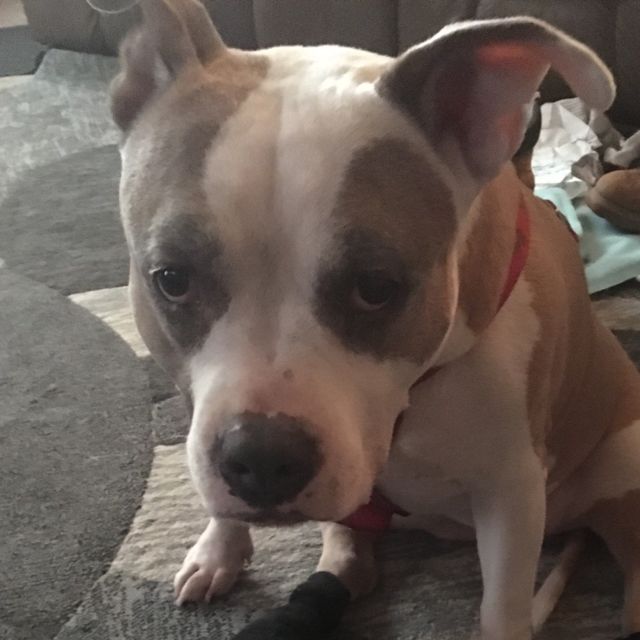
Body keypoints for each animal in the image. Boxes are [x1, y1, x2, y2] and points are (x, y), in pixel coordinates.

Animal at [111, 1, 640, 638]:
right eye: (171, 279)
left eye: (376, 288)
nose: (261, 458)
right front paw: (220, 549)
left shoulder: (511, 494)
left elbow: (501, 608)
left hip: (621, 463)